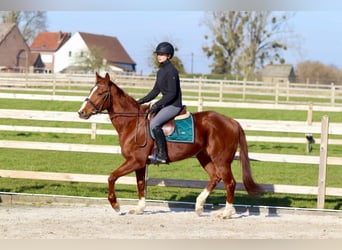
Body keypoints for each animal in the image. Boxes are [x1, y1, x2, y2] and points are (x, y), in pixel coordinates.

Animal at [78, 72, 264, 219]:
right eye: (91, 90)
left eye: (101, 92)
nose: (81, 112)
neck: (132, 123)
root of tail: (232, 122)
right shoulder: (140, 163)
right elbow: (140, 184)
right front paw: (139, 209)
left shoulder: (135, 161)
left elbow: (111, 177)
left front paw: (116, 205)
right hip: (204, 157)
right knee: (215, 177)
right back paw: (199, 206)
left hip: (222, 160)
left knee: (230, 183)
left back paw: (225, 213)